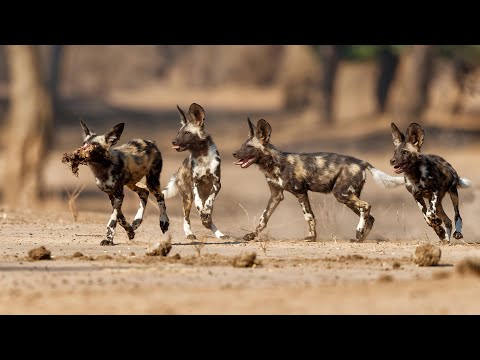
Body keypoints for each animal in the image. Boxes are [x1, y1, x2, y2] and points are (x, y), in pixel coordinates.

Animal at [162, 103, 228, 239]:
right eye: (178, 132)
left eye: (187, 133)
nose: (173, 141)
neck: (201, 156)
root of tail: (179, 169)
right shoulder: (195, 183)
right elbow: (198, 204)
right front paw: (201, 212)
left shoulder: (216, 184)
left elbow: (209, 203)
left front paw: (205, 212)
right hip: (187, 198)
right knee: (185, 217)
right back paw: (189, 233)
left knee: (209, 216)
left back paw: (217, 232)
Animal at [232, 118, 404, 242]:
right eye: (242, 145)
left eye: (249, 147)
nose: (234, 153)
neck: (274, 163)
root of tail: (362, 162)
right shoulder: (276, 196)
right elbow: (264, 218)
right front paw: (252, 235)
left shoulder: (300, 192)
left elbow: (309, 216)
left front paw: (311, 237)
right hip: (348, 197)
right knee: (369, 216)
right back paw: (360, 238)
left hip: (341, 194)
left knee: (366, 206)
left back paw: (359, 232)